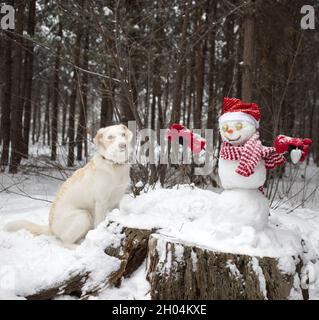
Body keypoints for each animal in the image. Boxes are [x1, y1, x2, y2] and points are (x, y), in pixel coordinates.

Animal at [6, 124, 134, 246]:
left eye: (123, 134)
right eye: (110, 137)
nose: (123, 145)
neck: (114, 165)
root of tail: (51, 228)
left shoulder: (116, 201)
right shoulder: (101, 203)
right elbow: (99, 223)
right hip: (83, 215)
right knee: (65, 243)